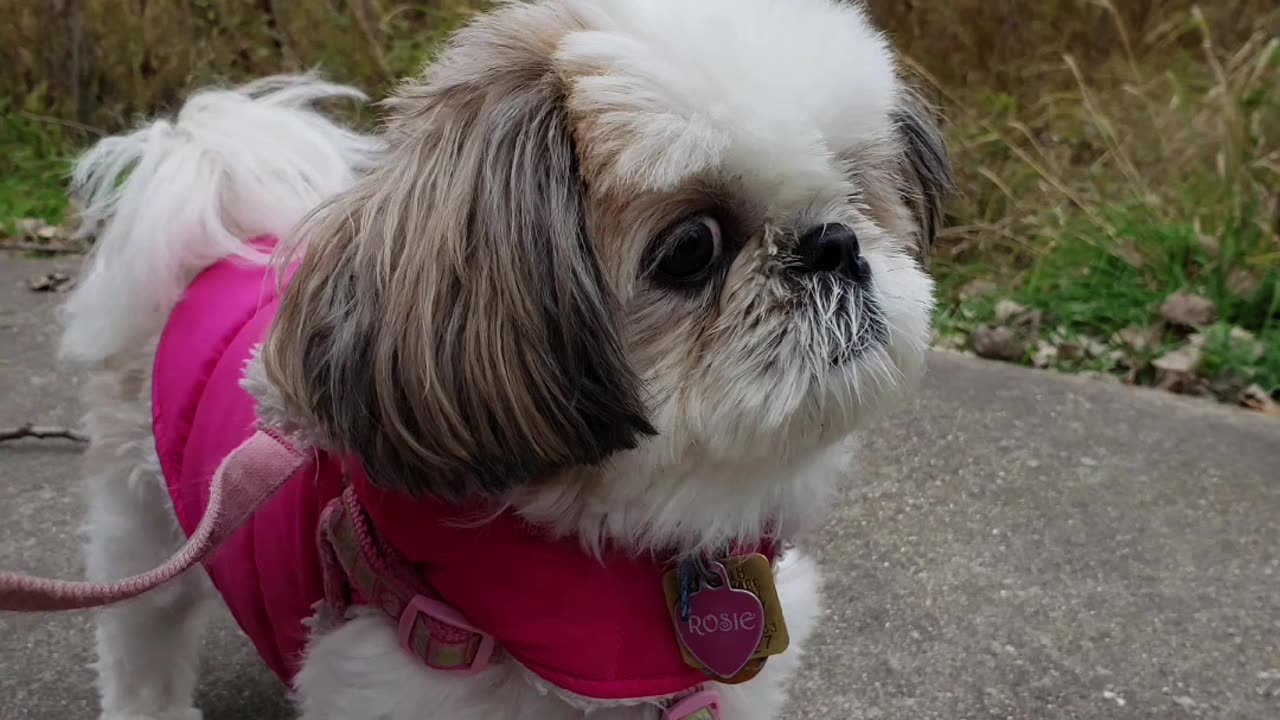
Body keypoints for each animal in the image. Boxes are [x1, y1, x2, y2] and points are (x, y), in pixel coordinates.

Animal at [47, 1, 952, 717]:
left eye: (857, 195)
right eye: (691, 247)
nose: (833, 246)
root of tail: (217, 236)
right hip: (147, 532)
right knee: (142, 642)